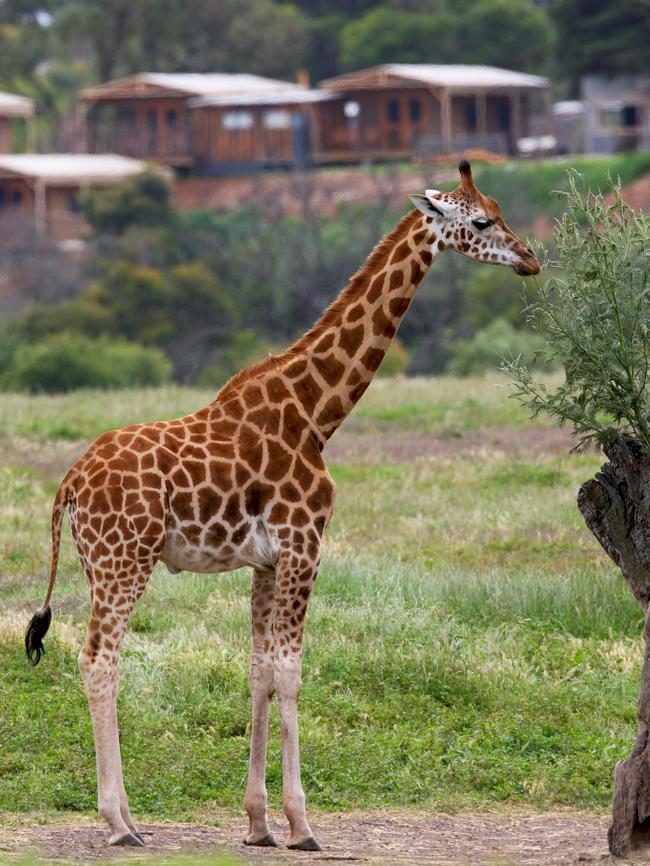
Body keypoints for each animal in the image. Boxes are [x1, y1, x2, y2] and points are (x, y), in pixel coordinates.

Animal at [26, 160, 536, 852]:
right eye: (482, 220)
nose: (531, 259)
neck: (317, 414)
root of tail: (70, 482)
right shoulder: (304, 544)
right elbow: (292, 672)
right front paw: (303, 824)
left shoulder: (266, 563)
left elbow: (260, 672)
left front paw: (259, 823)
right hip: (124, 560)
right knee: (98, 660)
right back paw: (118, 823)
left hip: (97, 562)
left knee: (100, 658)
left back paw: (129, 818)